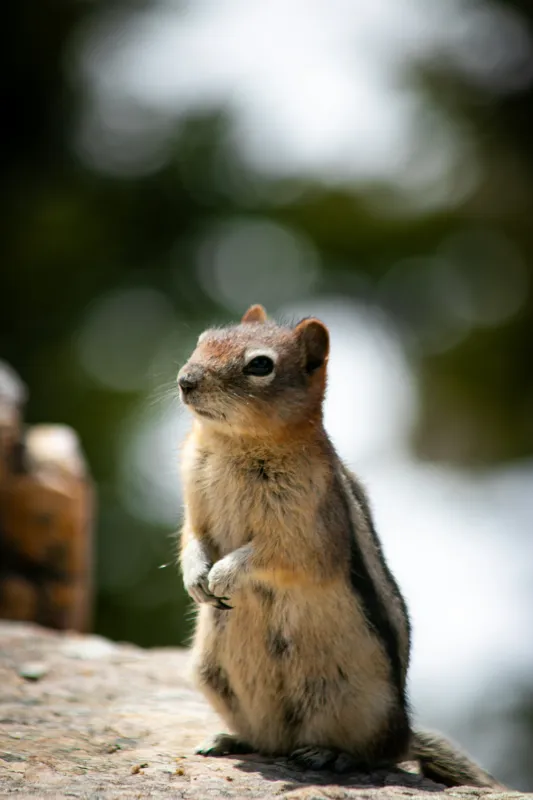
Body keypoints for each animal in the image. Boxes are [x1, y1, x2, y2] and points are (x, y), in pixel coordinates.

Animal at [177, 303, 504, 789]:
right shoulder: (193, 505)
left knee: (374, 755)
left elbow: (277, 556)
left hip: (353, 700)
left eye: (260, 365)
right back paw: (230, 739)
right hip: (211, 675)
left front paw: (223, 573)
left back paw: (331, 755)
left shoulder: (306, 531)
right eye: (202, 339)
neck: (234, 444)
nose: (186, 379)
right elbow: (192, 540)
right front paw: (196, 575)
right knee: (268, 741)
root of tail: (403, 733)